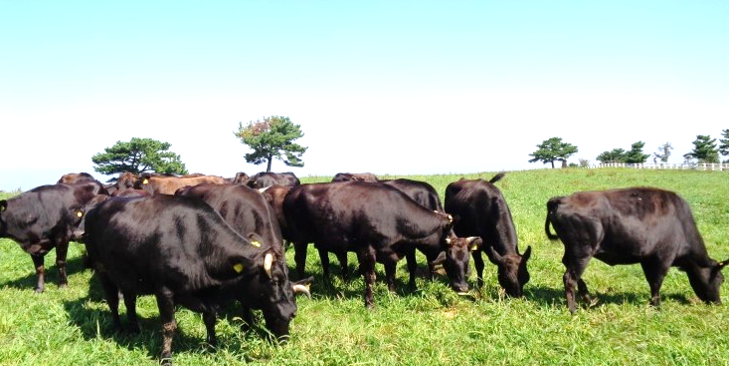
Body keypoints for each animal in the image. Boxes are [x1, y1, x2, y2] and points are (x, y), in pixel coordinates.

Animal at [83, 194, 308, 364]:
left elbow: (210, 319)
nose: (291, 311)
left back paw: (134, 329)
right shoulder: (164, 290)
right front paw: (166, 357)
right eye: (274, 280)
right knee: (113, 301)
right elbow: (169, 326)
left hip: (128, 274)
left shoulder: (207, 295)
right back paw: (119, 328)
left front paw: (213, 344)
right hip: (102, 270)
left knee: (129, 300)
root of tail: (96, 208)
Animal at [284, 182, 484, 308]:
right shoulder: (366, 250)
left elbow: (391, 277)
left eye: (467, 260)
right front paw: (370, 304)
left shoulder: (391, 253)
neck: (393, 214)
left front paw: (393, 297)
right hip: (299, 240)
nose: (463, 288)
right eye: (449, 257)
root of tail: (293, 191)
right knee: (300, 260)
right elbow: (370, 277)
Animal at [544, 187, 728, 314]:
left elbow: (652, 282)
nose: (718, 303)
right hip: (582, 252)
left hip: (573, 251)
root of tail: (561, 199)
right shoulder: (662, 258)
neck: (681, 224)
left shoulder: (647, 259)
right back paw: (573, 309)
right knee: (569, 278)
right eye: (721, 279)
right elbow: (656, 282)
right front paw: (657, 306)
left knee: (569, 269)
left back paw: (589, 299)